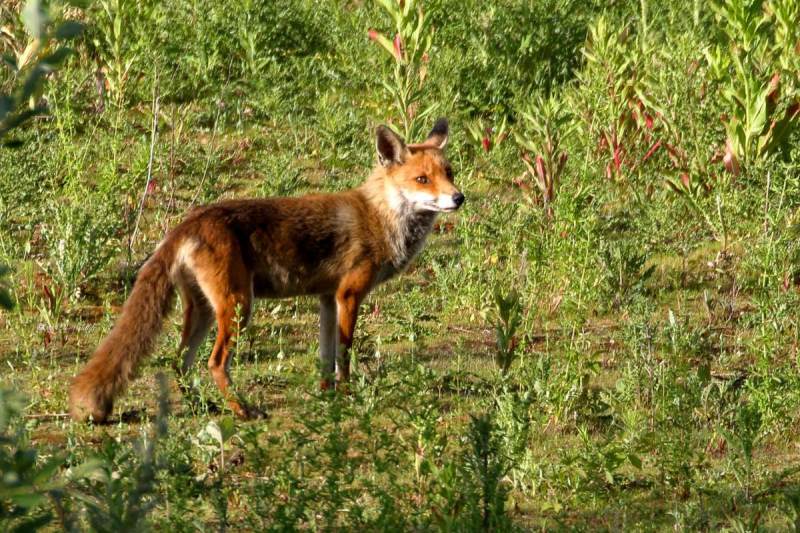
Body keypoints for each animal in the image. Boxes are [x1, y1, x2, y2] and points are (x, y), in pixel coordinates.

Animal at [69, 118, 464, 422]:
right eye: (422, 180)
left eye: (449, 173)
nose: (459, 198)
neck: (381, 218)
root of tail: (189, 222)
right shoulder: (349, 294)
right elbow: (345, 355)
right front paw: (347, 396)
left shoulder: (327, 298)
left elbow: (325, 357)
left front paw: (326, 395)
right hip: (239, 307)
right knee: (213, 363)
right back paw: (242, 411)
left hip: (204, 311)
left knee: (179, 361)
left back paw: (203, 407)